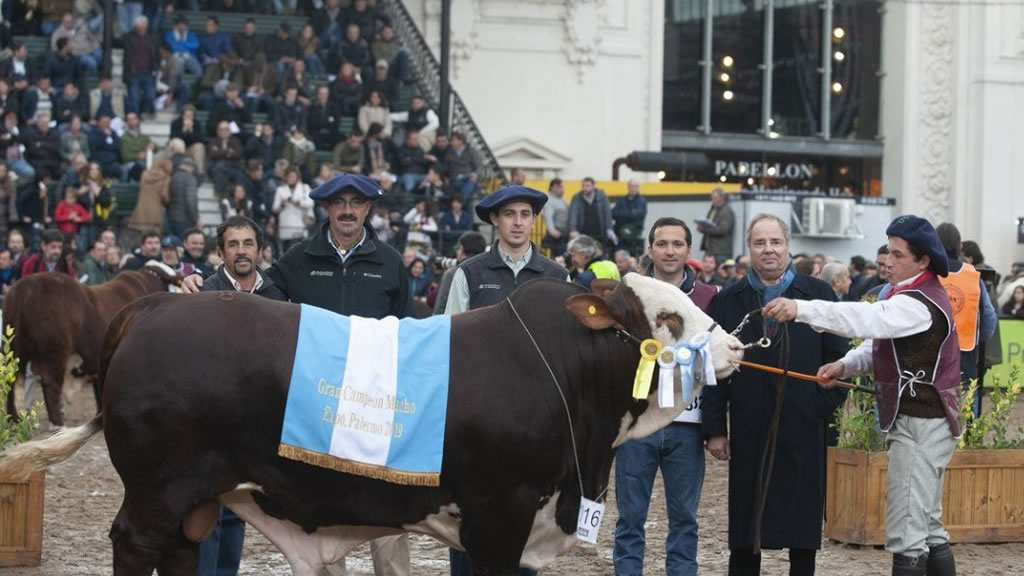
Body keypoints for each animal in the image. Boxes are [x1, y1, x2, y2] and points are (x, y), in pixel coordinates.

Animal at [0, 276, 741, 569]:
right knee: (134, 543)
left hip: (194, 498)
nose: (735, 344)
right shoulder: (499, 513)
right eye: (667, 319)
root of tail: (153, 306)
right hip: (157, 489)